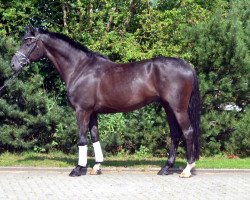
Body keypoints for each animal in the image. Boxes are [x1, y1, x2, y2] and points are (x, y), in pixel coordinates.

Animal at [11, 25, 201, 177]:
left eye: (28, 42)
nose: (13, 65)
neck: (80, 68)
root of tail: (188, 66)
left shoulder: (82, 111)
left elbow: (82, 139)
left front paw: (78, 169)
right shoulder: (92, 112)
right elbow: (95, 136)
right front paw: (96, 167)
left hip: (178, 109)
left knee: (188, 132)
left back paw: (186, 170)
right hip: (168, 108)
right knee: (175, 135)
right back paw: (166, 168)